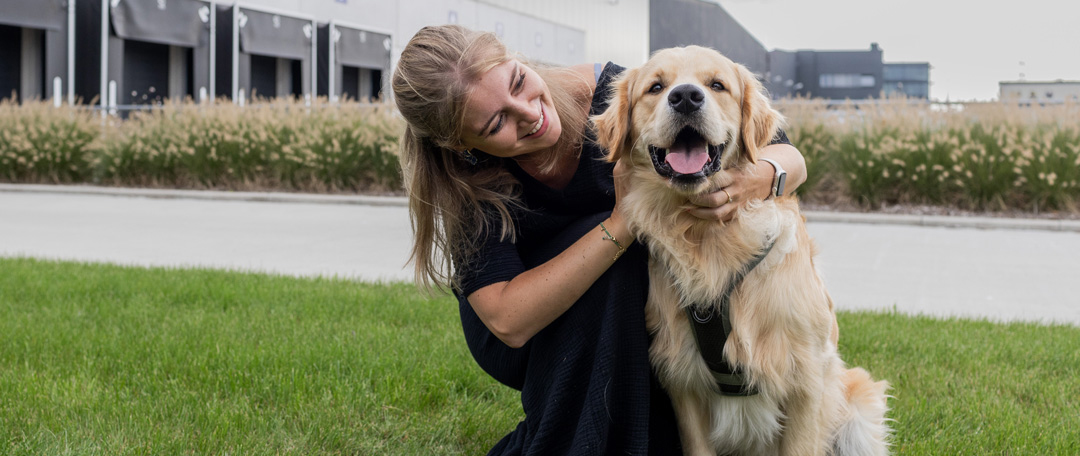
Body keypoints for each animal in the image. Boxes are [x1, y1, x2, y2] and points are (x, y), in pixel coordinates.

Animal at [596, 47, 889, 455]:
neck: (705, 235)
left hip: (859, 405)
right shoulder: (683, 378)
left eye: (717, 85)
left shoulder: (806, 378)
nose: (685, 97)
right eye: (655, 87)